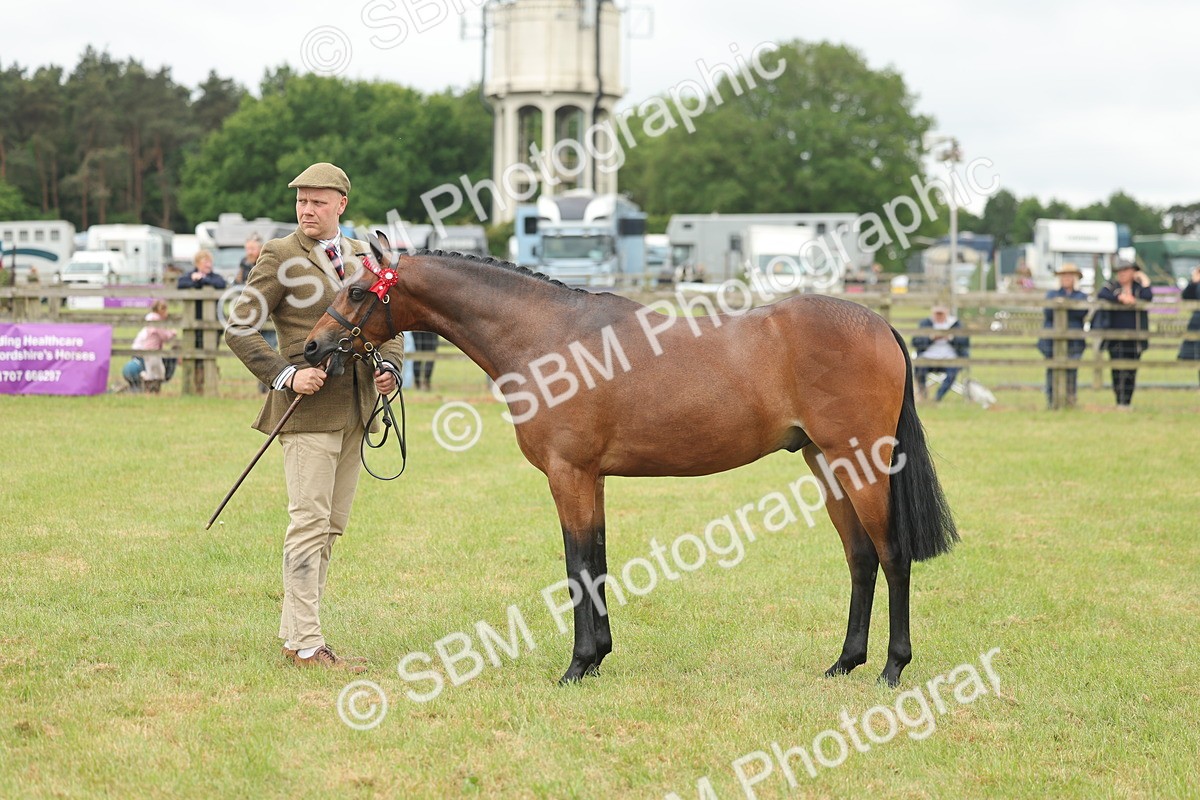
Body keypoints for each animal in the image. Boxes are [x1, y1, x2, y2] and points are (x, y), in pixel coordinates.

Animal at [303, 232, 958, 687]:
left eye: (357, 290)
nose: (312, 347)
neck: (548, 337)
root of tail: (879, 324)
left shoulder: (568, 474)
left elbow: (576, 565)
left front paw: (576, 667)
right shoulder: (591, 478)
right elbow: (595, 561)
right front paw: (597, 659)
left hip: (862, 463)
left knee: (892, 555)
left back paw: (892, 669)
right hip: (827, 464)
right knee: (860, 558)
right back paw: (844, 663)